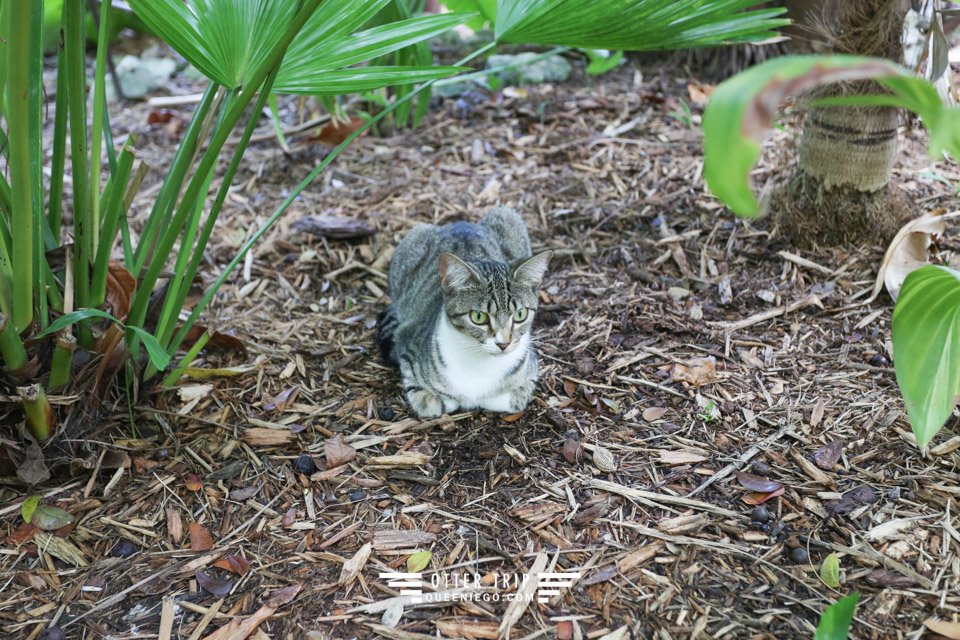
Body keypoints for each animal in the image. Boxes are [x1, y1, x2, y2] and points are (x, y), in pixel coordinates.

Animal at [378, 208, 552, 420]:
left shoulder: (532, 369)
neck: (481, 362)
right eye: (478, 317)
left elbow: (513, 399)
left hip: (507, 214)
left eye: (520, 315)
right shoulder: (407, 349)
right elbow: (429, 404)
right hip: (412, 240)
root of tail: (458, 223)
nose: (504, 344)